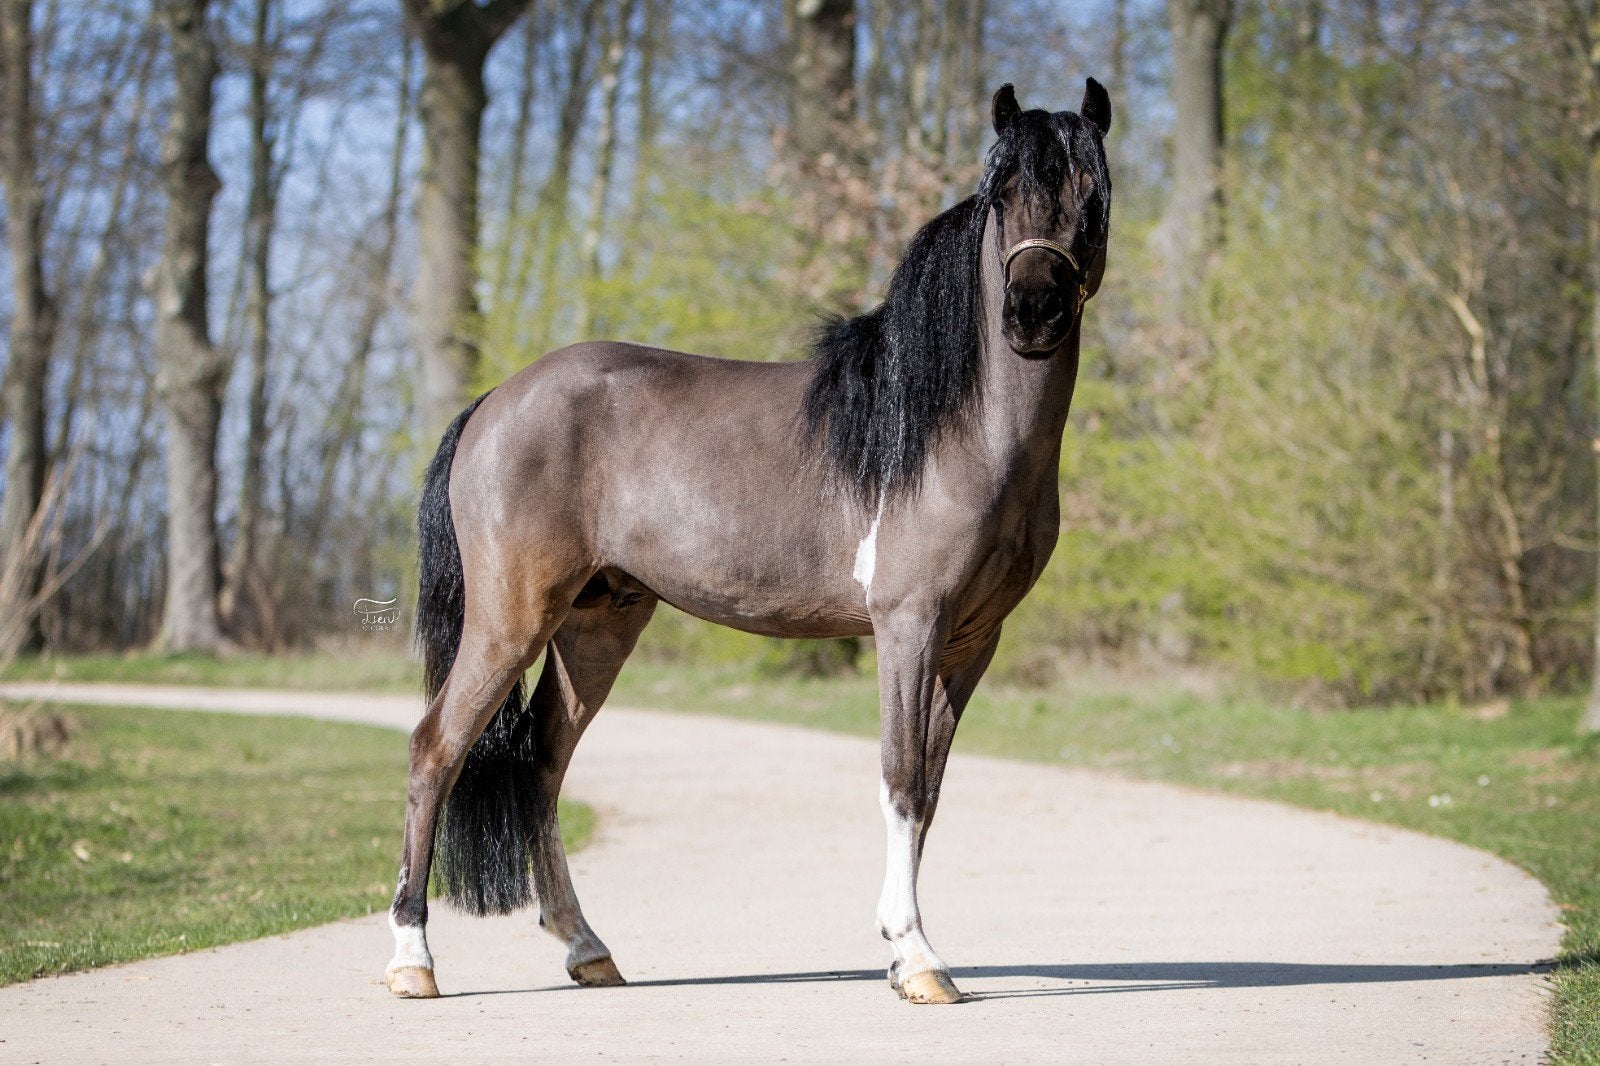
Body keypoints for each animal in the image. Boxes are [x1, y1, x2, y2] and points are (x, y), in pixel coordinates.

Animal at [385, 79, 1113, 1006]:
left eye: (1092, 195)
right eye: (1001, 194)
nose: (1033, 311)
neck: (951, 428)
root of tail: (494, 401)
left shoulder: (972, 641)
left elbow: (932, 792)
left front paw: (902, 952)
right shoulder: (909, 625)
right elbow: (901, 780)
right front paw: (918, 959)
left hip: (597, 623)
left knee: (543, 765)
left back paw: (588, 950)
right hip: (511, 618)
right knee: (435, 749)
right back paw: (412, 961)